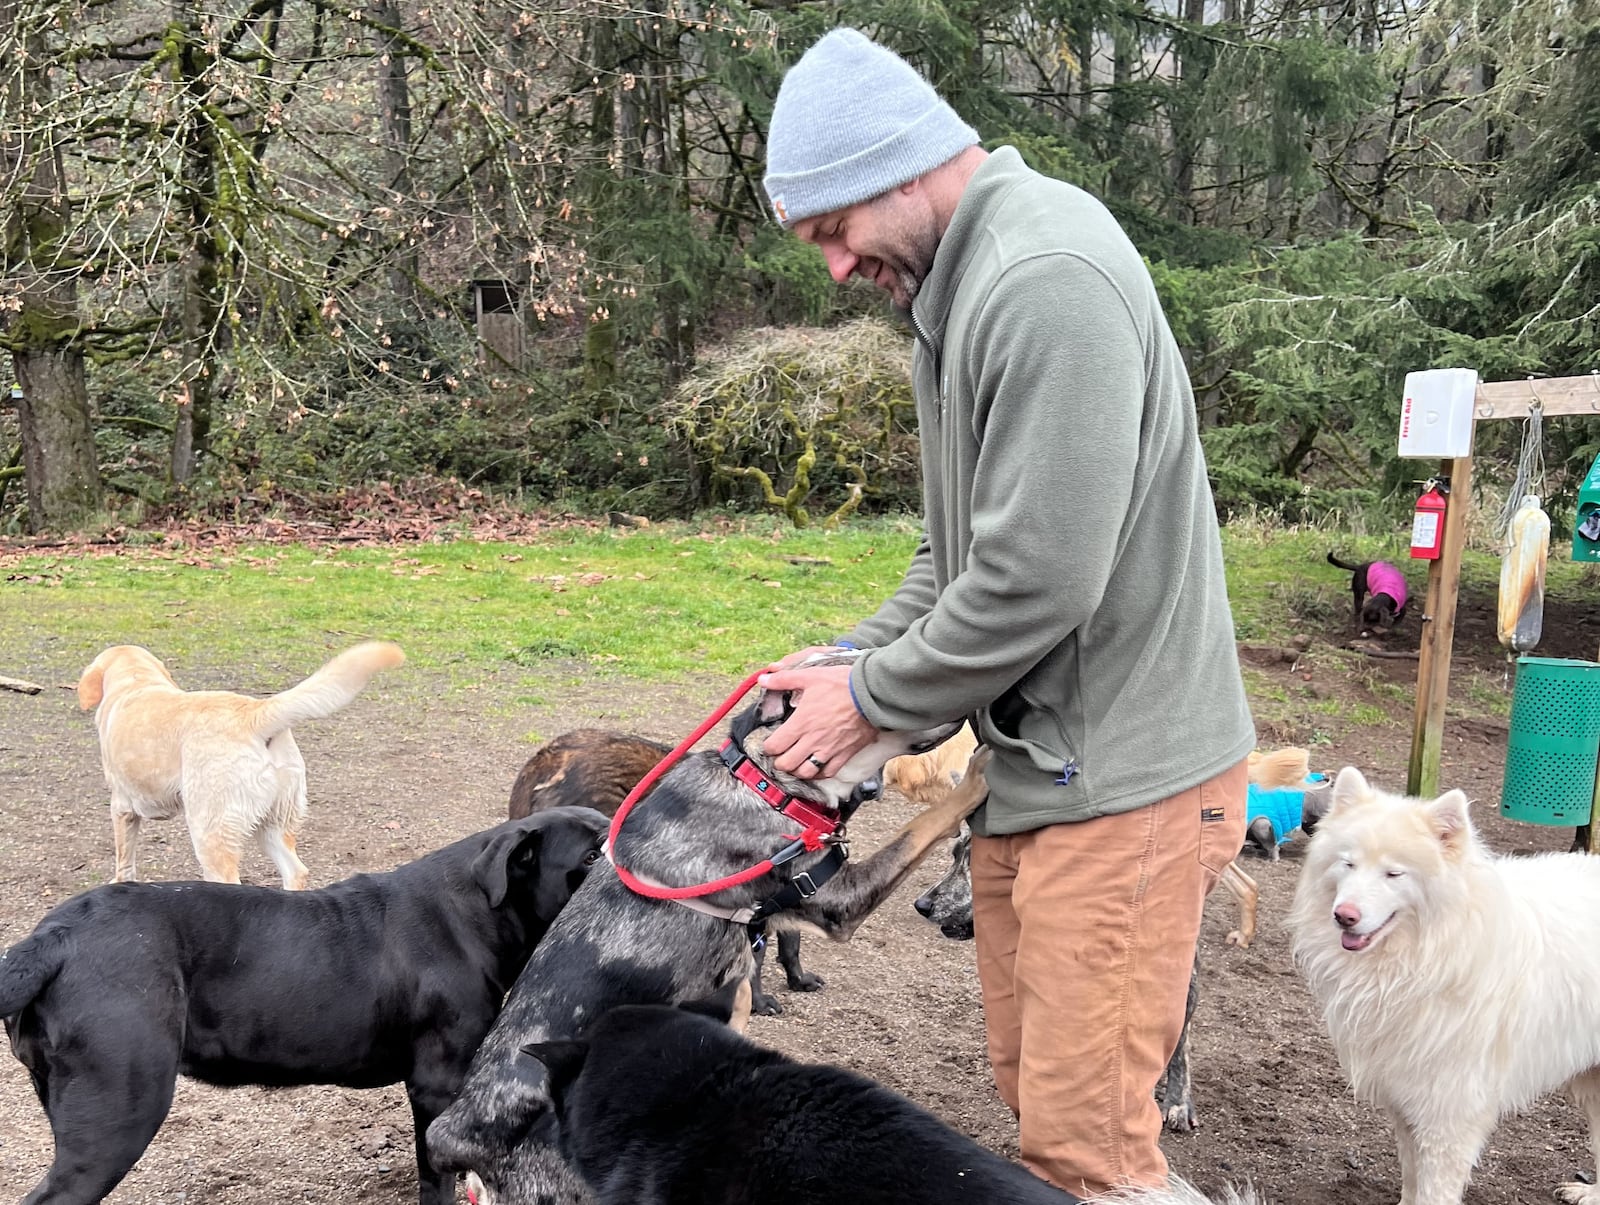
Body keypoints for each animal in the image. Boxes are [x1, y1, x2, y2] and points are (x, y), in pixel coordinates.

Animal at [0, 803, 608, 1205]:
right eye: (590, 854)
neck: (478, 911)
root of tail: (52, 938)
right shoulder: (437, 1087)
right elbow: (437, 1181)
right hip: (120, 1112)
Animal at [77, 640, 403, 883]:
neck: (136, 680)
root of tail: (256, 713)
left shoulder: (122, 807)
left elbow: (124, 860)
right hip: (274, 824)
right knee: (296, 871)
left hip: (211, 831)